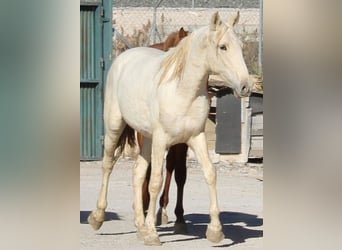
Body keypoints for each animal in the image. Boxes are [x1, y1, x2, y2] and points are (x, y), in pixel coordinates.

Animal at [87, 12, 250, 246]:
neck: (182, 91)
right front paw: (153, 233)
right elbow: (156, 181)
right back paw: (98, 217)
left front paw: (215, 231)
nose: (245, 86)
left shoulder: (195, 137)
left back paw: (139, 225)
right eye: (223, 47)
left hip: (147, 138)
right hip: (115, 127)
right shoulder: (162, 140)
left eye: (240, 45)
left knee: (138, 172)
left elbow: (210, 173)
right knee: (108, 165)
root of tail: (123, 58)